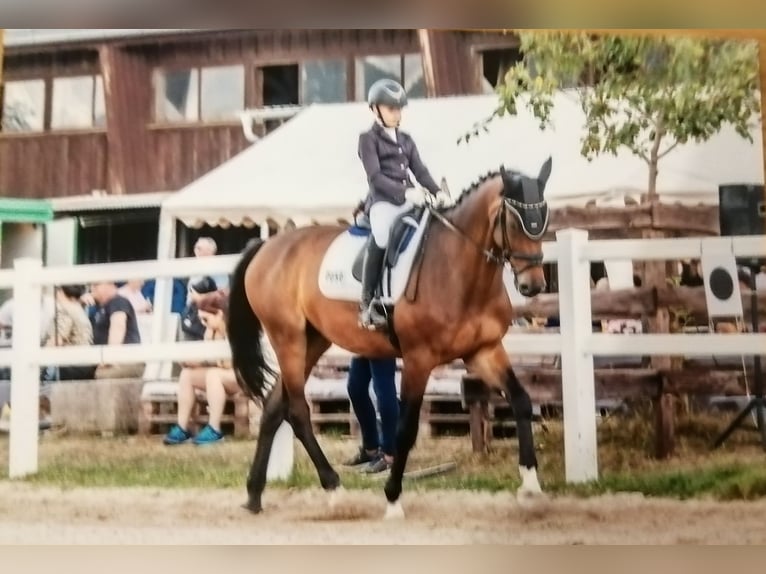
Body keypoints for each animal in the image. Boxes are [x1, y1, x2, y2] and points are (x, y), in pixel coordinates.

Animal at [226, 156, 553, 519]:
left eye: (544, 216)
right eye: (514, 220)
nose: (534, 286)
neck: (457, 267)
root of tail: (266, 247)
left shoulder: (484, 350)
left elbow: (521, 401)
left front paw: (531, 489)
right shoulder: (418, 359)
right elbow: (405, 429)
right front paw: (393, 498)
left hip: (313, 340)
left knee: (273, 405)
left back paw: (254, 495)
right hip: (288, 338)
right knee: (297, 410)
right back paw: (335, 489)